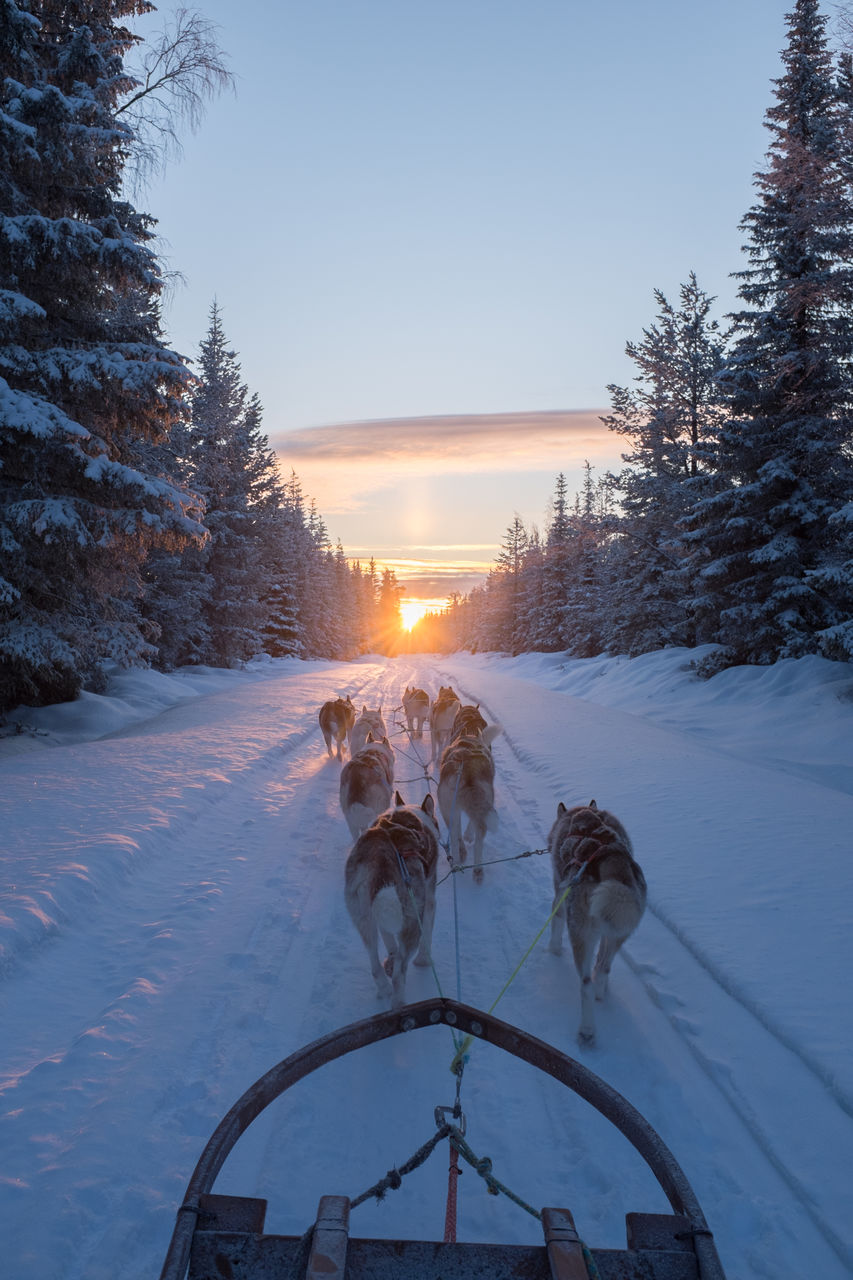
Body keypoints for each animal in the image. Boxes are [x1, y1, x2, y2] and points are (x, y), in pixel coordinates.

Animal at [343, 788, 438, 1008]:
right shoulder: (429, 899)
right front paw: (424, 960)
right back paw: (399, 1003)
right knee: (399, 974)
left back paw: (383, 987)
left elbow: (388, 938)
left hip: (363, 919)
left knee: (374, 963)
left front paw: (392, 953)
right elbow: (427, 935)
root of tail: (379, 856)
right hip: (412, 917)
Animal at [438, 727, 499, 885]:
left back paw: (458, 860)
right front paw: (469, 835)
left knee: (455, 837)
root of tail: (467, 771)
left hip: (449, 811)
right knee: (478, 840)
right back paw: (477, 869)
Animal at [545, 803, 645, 1044]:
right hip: (618, 932)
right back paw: (602, 992)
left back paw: (587, 1030)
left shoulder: (559, 900)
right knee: (602, 969)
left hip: (581, 935)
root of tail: (613, 859)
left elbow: (555, 928)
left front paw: (553, 950)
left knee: (586, 984)